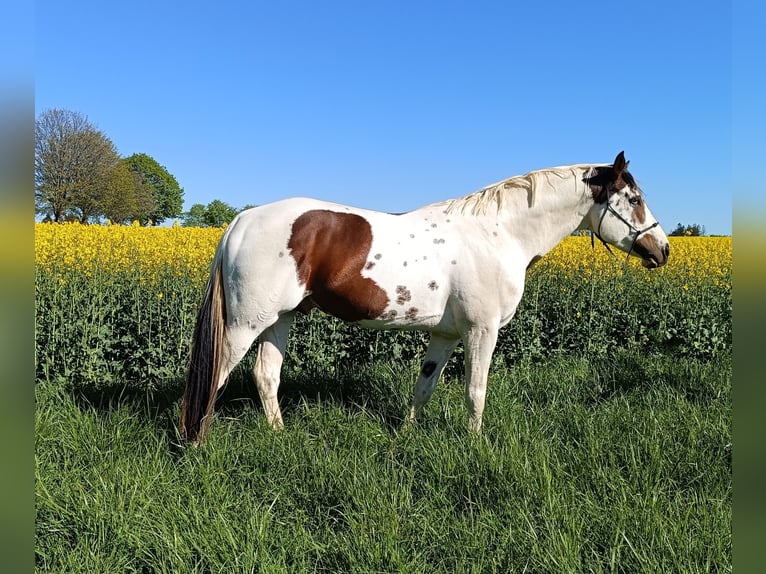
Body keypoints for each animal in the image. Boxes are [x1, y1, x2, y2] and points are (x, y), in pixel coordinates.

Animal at [180, 151, 669, 442]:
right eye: (634, 198)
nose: (661, 249)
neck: (499, 234)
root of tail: (241, 220)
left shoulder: (446, 335)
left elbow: (424, 387)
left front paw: (407, 435)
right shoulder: (481, 331)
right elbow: (475, 391)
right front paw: (474, 445)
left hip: (278, 320)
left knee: (266, 376)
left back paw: (281, 437)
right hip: (245, 324)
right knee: (215, 375)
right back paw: (196, 442)